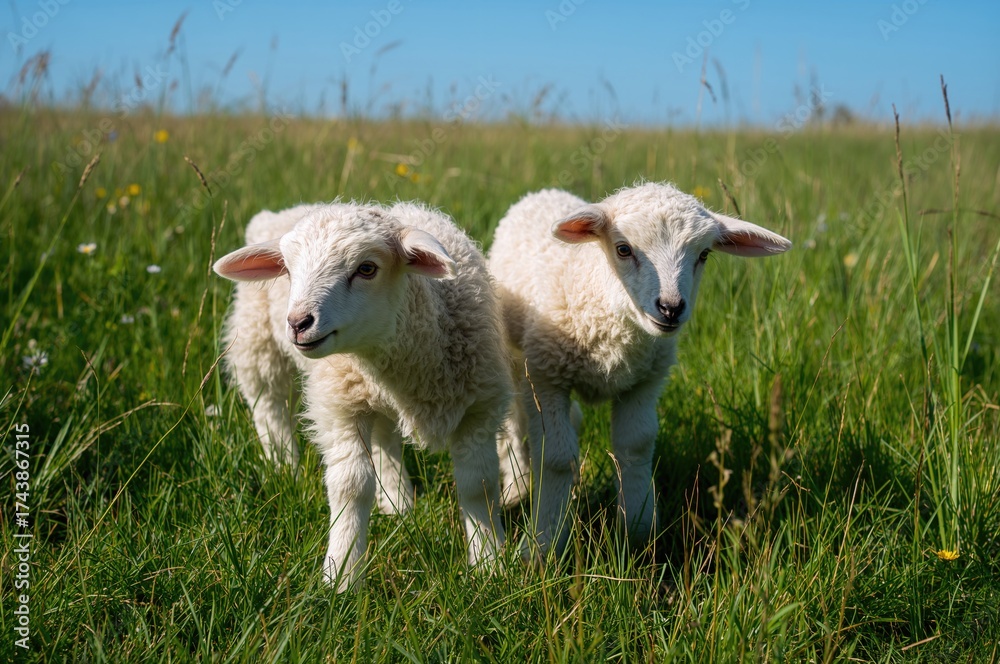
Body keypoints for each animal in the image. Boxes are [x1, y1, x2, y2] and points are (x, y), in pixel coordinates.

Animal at [213, 201, 510, 591]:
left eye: (367, 268)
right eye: (288, 271)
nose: (298, 323)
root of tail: (282, 212)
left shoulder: (478, 407)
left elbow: (478, 483)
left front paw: (490, 564)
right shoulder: (339, 405)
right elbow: (351, 486)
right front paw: (341, 575)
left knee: (385, 437)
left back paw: (398, 503)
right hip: (257, 341)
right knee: (268, 403)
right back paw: (282, 465)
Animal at [488, 182, 791, 557]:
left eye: (704, 255)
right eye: (623, 249)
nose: (671, 308)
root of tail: (544, 191)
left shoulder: (645, 382)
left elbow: (635, 447)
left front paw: (638, 532)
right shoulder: (547, 377)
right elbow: (556, 457)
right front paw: (544, 544)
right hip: (515, 357)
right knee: (514, 422)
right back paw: (516, 490)